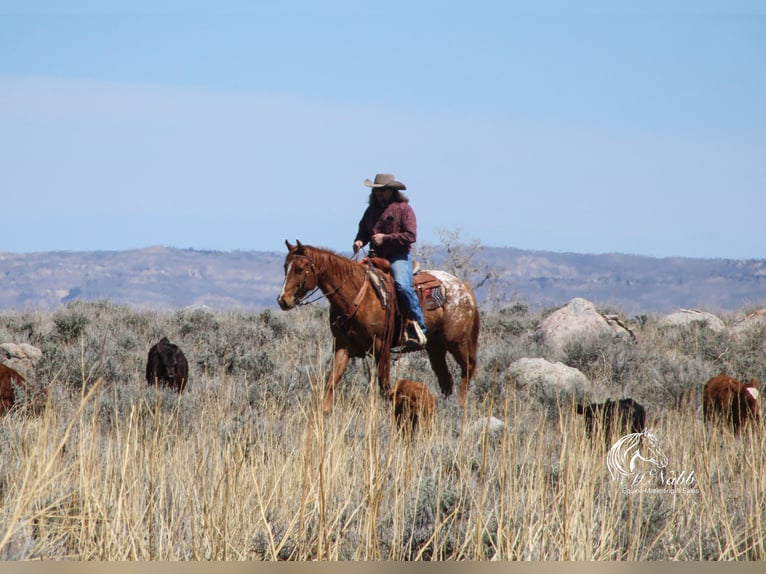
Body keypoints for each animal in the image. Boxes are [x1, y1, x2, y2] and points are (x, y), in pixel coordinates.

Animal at [276, 241, 480, 416]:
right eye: (285, 267)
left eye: (299, 269)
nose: (282, 300)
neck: (358, 296)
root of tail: (464, 287)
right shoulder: (342, 346)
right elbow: (332, 380)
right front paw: (323, 412)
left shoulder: (382, 347)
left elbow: (384, 385)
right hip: (436, 348)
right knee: (446, 379)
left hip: (457, 341)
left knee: (467, 368)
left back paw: (460, 406)